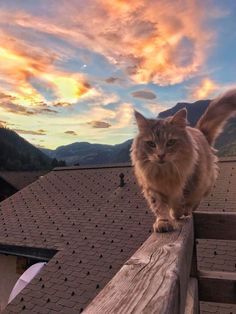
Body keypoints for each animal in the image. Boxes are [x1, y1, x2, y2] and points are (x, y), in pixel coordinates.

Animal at [131, 89, 236, 232]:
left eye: (170, 142)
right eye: (151, 144)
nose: (161, 155)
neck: (165, 172)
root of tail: (200, 132)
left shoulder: (190, 181)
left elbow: (182, 201)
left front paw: (177, 213)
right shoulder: (152, 188)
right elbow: (160, 207)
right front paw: (163, 222)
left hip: (207, 181)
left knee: (195, 202)